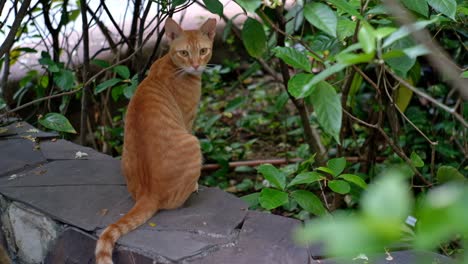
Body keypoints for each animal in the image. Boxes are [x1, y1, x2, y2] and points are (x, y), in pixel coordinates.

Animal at [97, 17, 218, 262]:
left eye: (203, 51)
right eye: (184, 52)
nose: (195, 65)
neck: (170, 64)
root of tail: (148, 194)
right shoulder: (188, 121)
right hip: (193, 143)